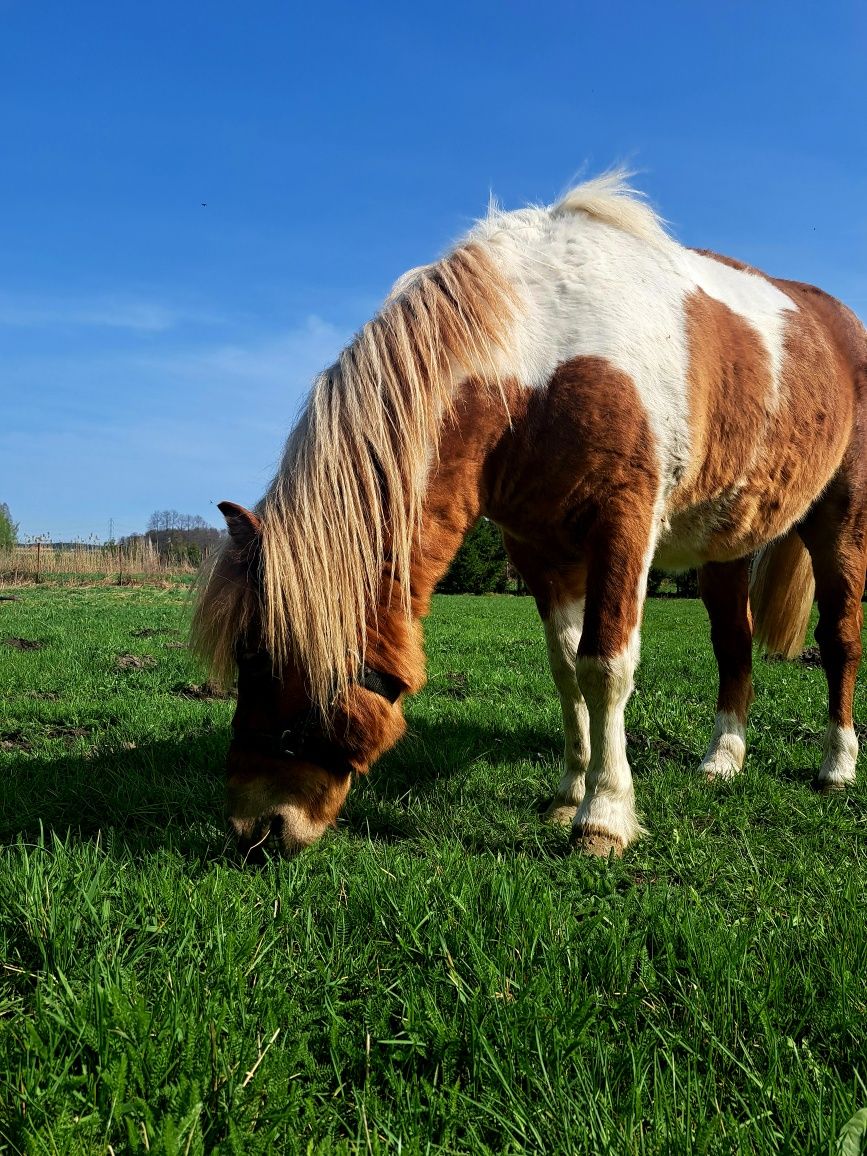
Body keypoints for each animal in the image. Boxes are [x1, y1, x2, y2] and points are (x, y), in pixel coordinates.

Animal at [191, 171, 867, 860]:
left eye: (261, 659)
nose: (254, 827)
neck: (541, 359)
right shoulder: (540, 549)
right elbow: (567, 670)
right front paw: (569, 792)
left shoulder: (622, 530)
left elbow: (605, 667)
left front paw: (603, 817)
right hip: (725, 545)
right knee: (734, 643)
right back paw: (723, 758)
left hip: (842, 523)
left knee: (840, 637)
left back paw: (837, 765)